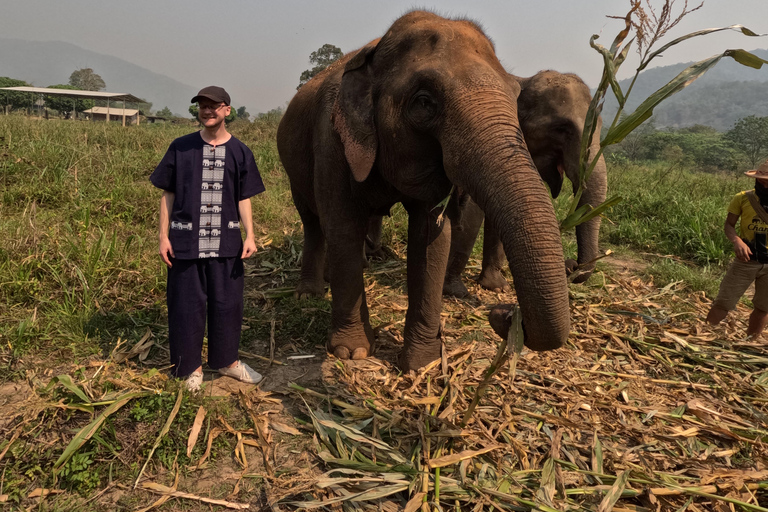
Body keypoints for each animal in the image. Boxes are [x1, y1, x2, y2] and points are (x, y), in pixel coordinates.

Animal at [276, 11, 568, 372]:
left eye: (515, 98)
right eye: (424, 102)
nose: (503, 312)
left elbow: (431, 236)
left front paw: (422, 364)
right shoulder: (330, 141)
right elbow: (342, 226)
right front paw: (351, 352)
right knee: (313, 221)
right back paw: (310, 293)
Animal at [440, 70, 608, 298]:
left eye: (600, 126)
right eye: (561, 128)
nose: (571, 264)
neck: (523, 81)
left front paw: (496, 286)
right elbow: (472, 211)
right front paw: (454, 291)